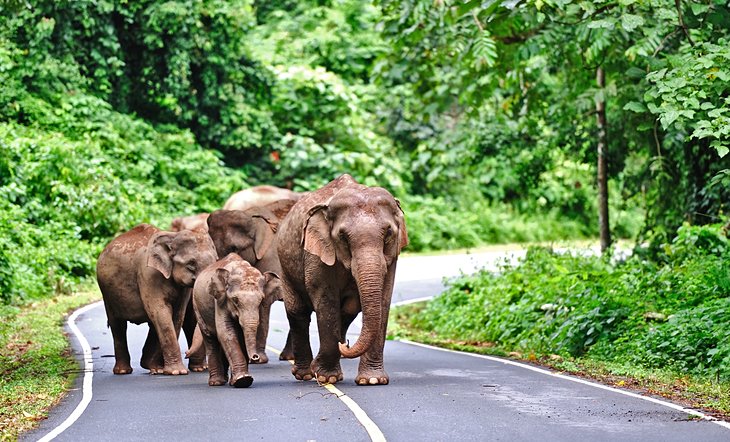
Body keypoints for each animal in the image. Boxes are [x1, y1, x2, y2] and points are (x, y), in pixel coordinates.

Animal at [192, 254, 278, 388]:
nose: (255, 357)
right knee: (210, 338)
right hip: (197, 306)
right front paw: (243, 380)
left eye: (261, 300)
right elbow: (226, 332)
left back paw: (226, 380)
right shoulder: (220, 300)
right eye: (235, 300)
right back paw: (216, 383)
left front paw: (241, 381)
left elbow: (240, 336)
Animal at [276, 174, 406, 386]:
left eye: (388, 234)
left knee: (347, 311)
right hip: (285, 268)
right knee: (298, 312)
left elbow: (384, 301)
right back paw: (305, 374)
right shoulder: (317, 252)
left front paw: (373, 380)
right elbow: (326, 301)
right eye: (343, 237)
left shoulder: (392, 256)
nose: (346, 344)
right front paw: (327, 377)